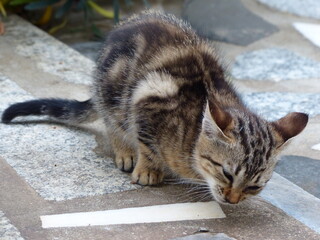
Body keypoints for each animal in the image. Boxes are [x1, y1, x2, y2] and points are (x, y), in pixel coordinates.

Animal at [1, 10, 308, 203]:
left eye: (255, 186)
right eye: (227, 173)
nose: (233, 200)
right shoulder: (147, 99)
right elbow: (146, 142)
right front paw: (148, 169)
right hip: (112, 93)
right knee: (112, 121)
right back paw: (125, 152)